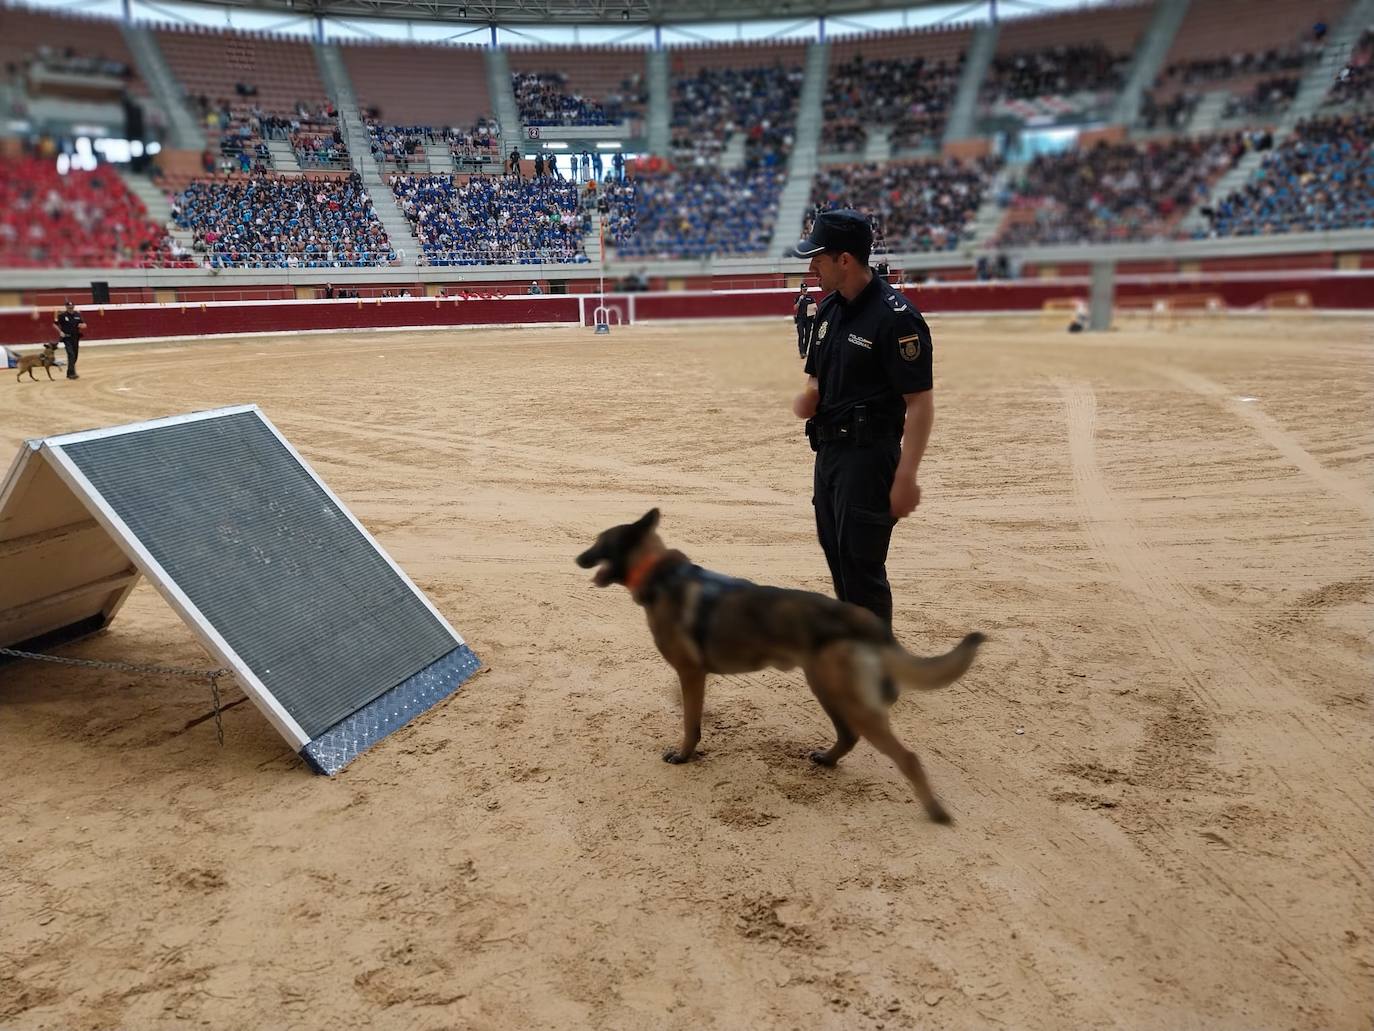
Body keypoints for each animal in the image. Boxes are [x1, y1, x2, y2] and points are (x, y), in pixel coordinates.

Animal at [579, 508, 989, 824]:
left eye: (599, 542)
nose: (577, 558)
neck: (658, 573)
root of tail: (864, 620)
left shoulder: (690, 674)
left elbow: (690, 724)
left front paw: (684, 755)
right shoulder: (694, 678)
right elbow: (690, 710)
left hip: (846, 697)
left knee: (907, 757)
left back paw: (935, 811)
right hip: (826, 688)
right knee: (848, 736)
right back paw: (826, 759)